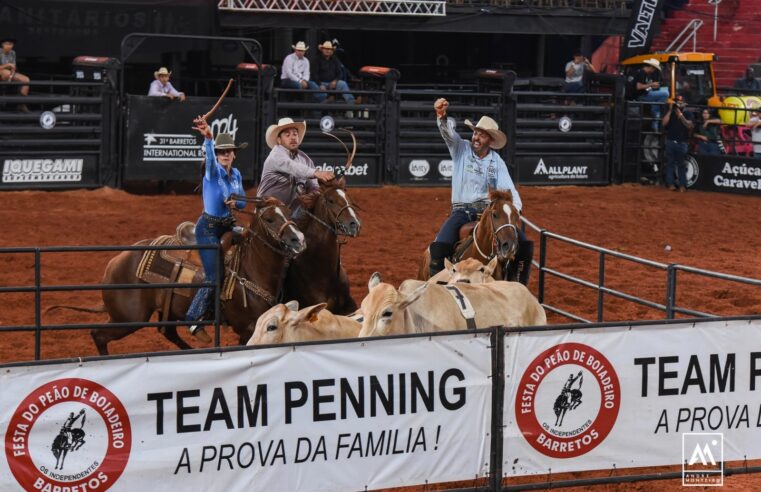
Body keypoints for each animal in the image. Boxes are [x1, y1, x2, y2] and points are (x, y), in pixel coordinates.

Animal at [48, 198, 306, 356]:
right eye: (270, 219)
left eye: (288, 213)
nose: (299, 239)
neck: (249, 269)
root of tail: (114, 264)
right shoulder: (247, 328)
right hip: (129, 317)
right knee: (98, 335)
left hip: (165, 312)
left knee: (167, 332)